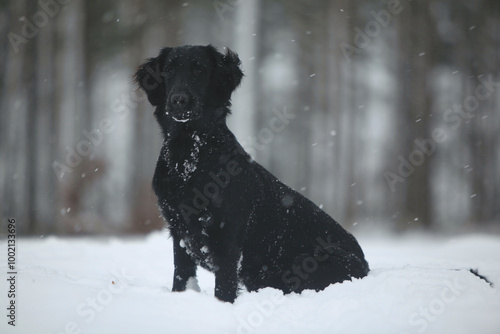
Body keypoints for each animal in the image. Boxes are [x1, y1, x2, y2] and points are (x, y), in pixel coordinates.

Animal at [135, 44, 370, 302]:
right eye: (168, 70)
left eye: (200, 70)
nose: (178, 100)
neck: (189, 156)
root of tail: (366, 264)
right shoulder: (179, 231)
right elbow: (181, 276)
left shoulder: (227, 237)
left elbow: (224, 286)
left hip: (312, 261)